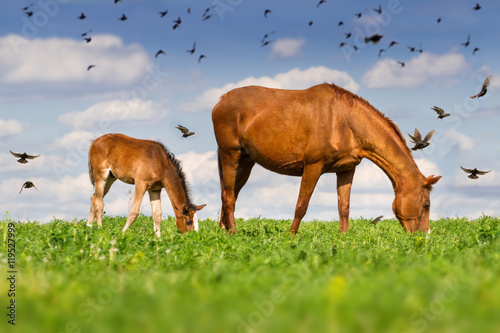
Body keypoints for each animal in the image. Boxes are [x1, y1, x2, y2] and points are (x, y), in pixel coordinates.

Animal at [213, 83, 440, 233]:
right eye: (426, 205)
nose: (424, 237)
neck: (345, 121)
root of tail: (221, 101)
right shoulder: (313, 167)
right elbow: (301, 205)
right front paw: (290, 236)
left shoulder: (346, 169)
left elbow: (344, 207)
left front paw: (345, 237)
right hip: (230, 155)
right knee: (229, 197)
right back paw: (233, 233)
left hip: (245, 162)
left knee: (227, 195)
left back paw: (223, 232)